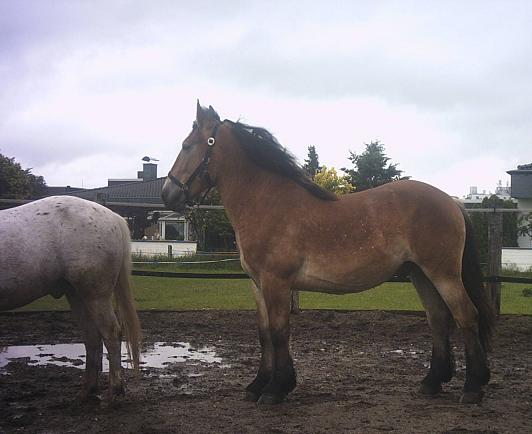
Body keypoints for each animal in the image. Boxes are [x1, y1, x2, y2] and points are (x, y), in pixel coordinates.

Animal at [0, 196, 141, 402]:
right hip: (77, 295)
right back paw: (87, 391)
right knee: (92, 337)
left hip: (95, 295)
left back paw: (114, 391)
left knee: (111, 333)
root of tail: (112, 217)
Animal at [162, 102, 496, 405]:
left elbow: (279, 331)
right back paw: (432, 382)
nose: (168, 194)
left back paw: (473, 387)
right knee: (438, 318)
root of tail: (453, 202)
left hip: (443, 273)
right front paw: (257, 385)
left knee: (466, 316)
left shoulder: (276, 282)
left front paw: (276, 389)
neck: (267, 201)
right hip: (420, 273)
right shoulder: (257, 284)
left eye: (187, 146)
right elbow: (264, 333)